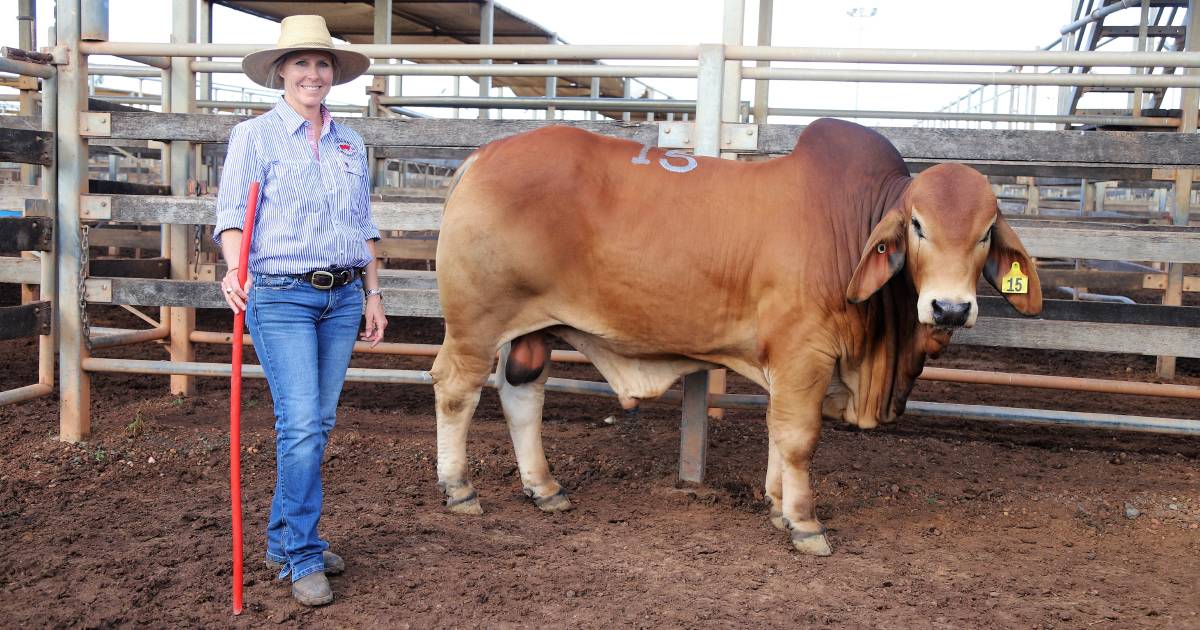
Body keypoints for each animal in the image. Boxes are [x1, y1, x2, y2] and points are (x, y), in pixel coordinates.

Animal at [432, 117, 1041, 554]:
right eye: (917, 226)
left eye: (987, 231)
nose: (950, 307)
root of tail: (483, 156)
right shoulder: (805, 354)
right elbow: (798, 437)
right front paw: (804, 524)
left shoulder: (789, 364)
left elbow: (777, 429)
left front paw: (775, 505)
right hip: (476, 322)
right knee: (456, 390)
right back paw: (460, 489)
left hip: (533, 328)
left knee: (522, 393)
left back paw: (545, 489)